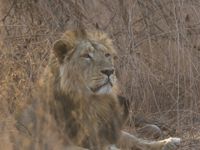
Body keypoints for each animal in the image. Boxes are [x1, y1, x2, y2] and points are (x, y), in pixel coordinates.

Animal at [16, 28, 180, 149]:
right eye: (86, 56)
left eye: (107, 54)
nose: (109, 71)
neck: (92, 102)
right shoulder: (53, 143)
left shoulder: (106, 131)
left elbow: (133, 138)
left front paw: (169, 142)